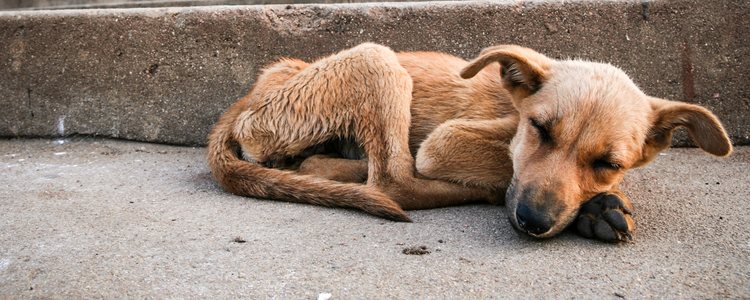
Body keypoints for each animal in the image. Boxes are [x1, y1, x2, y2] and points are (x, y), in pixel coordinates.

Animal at [207, 43, 736, 243]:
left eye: (608, 162)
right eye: (540, 129)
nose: (534, 221)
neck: (513, 111)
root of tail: (250, 96)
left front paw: (598, 202)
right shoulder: (445, 141)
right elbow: (505, 168)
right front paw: (596, 207)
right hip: (377, 59)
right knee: (395, 181)